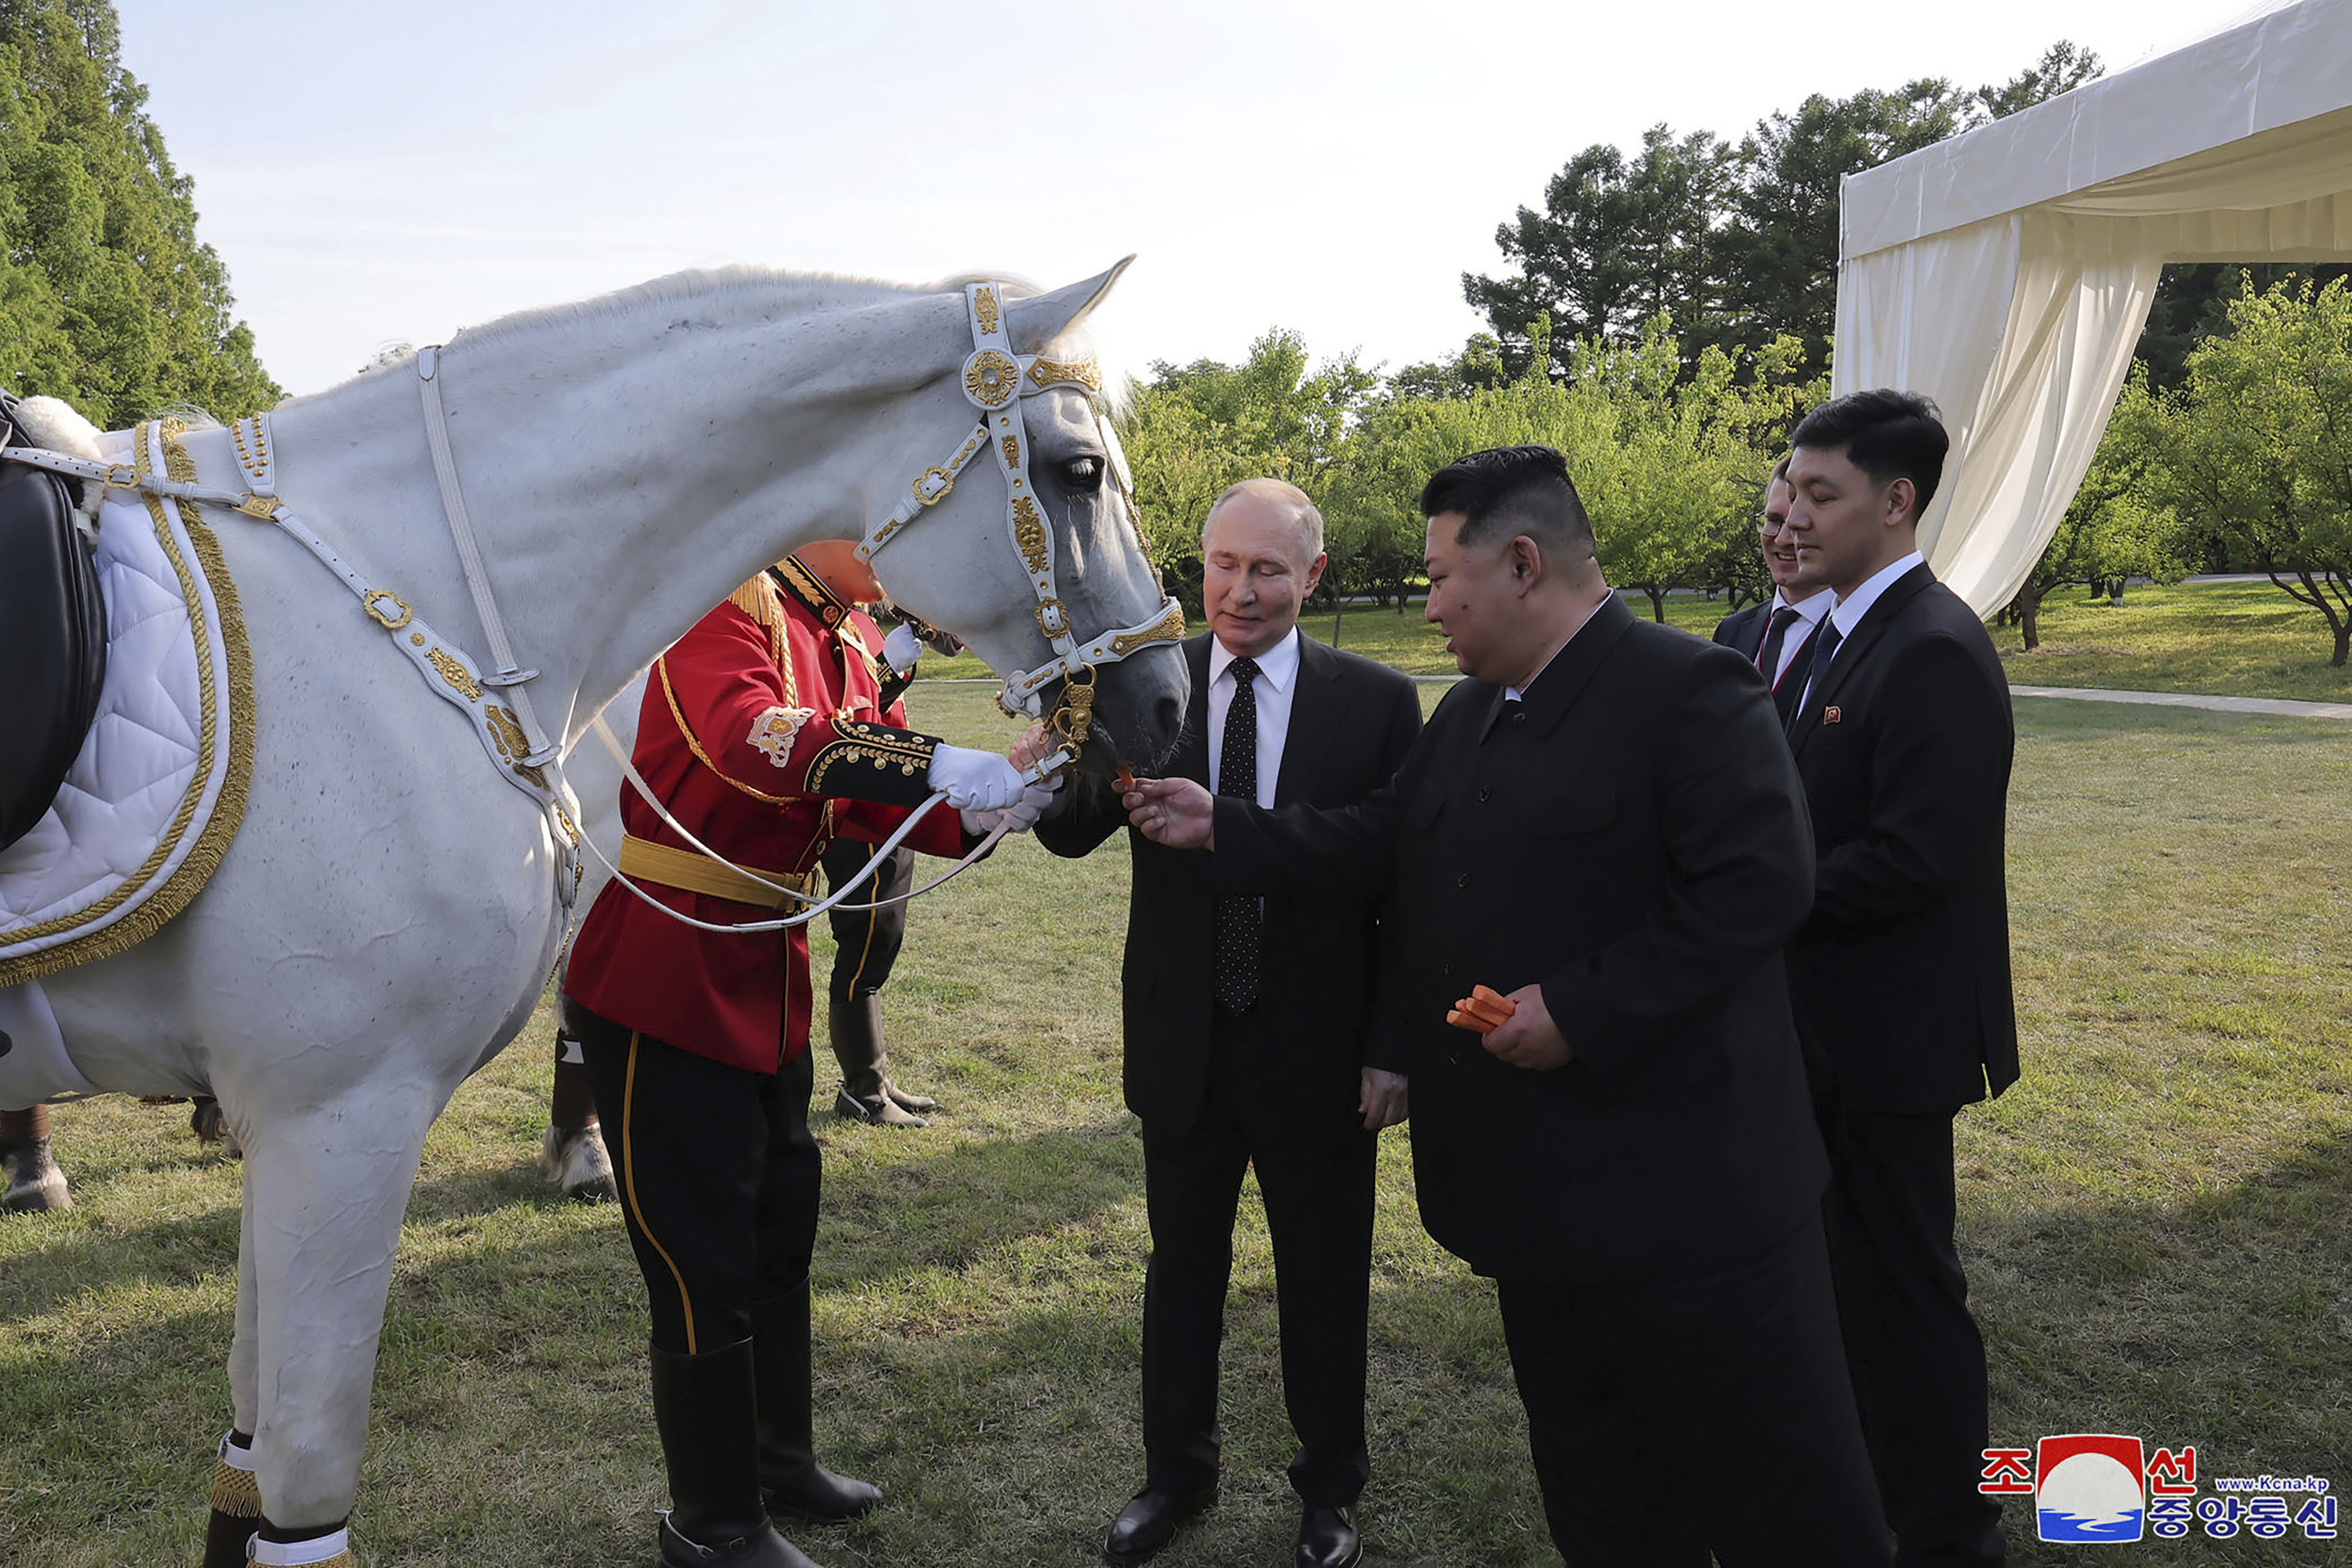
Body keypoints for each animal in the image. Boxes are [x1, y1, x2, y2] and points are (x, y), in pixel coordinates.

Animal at [22, 263, 1176, 1561]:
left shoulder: (295, 1112)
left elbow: (247, 1442)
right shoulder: (340, 1112)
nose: (1166, 707)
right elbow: (308, 1473)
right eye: (1078, 470)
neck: (427, 596)